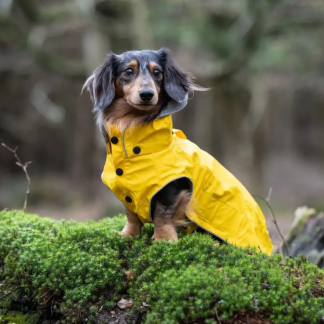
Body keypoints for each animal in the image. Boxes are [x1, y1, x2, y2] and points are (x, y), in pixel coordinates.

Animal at [84, 48, 274, 256]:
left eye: (157, 72)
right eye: (128, 71)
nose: (147, 94)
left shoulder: (172, 187)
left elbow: (162, 214)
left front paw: (163, 239)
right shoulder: (126, 193)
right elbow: (131, 213)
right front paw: (129, 234)